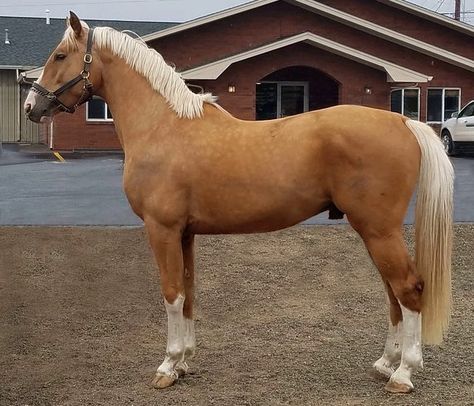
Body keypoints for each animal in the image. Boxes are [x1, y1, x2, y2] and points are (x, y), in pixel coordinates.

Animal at [24, 12, 454, 394]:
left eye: (59, 56)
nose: (31, 107)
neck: (164, 126)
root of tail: (403, 122)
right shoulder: (184, 234)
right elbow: (188, 291)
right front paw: (184, 362)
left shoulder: (161, 229)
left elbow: (171, 293)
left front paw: (167, 366)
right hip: (375, 231)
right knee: (393, 292)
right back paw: (386, 364)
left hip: (378, 230)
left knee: (408, 288)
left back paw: (403, 374)